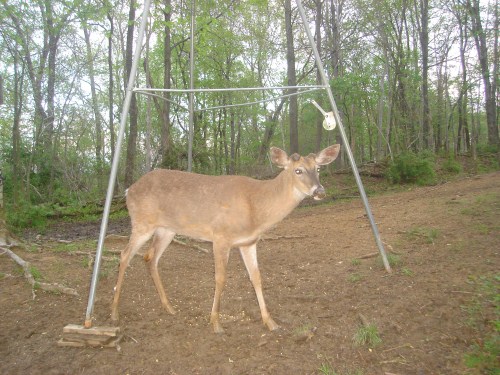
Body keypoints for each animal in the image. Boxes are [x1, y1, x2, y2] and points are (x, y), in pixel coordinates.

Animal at [110, 145, 340, 334]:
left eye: (318, 169)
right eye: (297, 170)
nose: (319, 191)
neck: (256, 208)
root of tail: (129, 190)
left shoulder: (248, 242)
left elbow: (256, 277)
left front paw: (271, 322)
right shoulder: (220, 236)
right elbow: (220, 278)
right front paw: (216, 323)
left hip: (167, 229)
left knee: (150, 257)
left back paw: (169, 307)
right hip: (142, 222)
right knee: (124, 255)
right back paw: (114, 313)